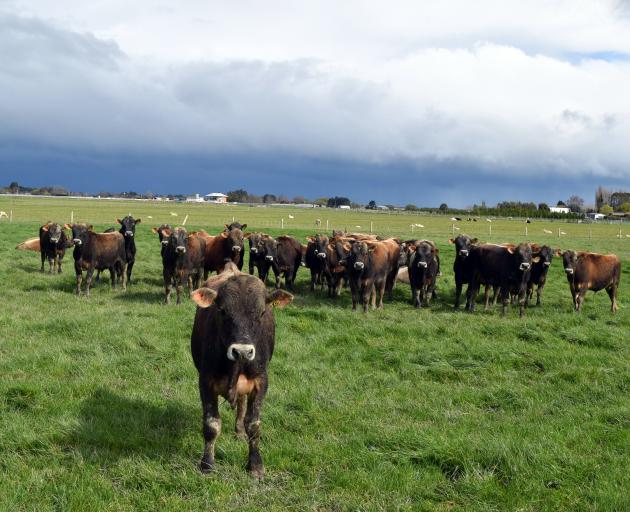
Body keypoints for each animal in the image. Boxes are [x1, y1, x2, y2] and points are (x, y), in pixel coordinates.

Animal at [189, 262, 296, 478]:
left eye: (262, 312)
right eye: (222, 311)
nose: (242, 351)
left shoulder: (261, 381)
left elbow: (253, 424)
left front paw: (255, 465)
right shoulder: (205, 381)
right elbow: (211, 424)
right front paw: (207, 463)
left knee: (241, 405)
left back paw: (239, 432)